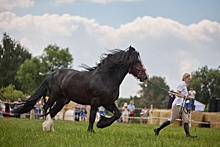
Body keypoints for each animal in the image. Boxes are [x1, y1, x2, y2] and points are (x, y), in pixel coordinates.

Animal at [12, 45, 149, 132]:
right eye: (136, 61)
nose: (145, 76)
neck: (106, 77)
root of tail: (52, 74)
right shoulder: (95, 101)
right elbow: (92, 116)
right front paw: (91, 131)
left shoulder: (108, 103)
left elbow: (118, 114)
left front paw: (101, 124)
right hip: (54, 95)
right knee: (46, 108)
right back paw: (46, 127)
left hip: (62, 100)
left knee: (52, 111)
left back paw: (51, 129)